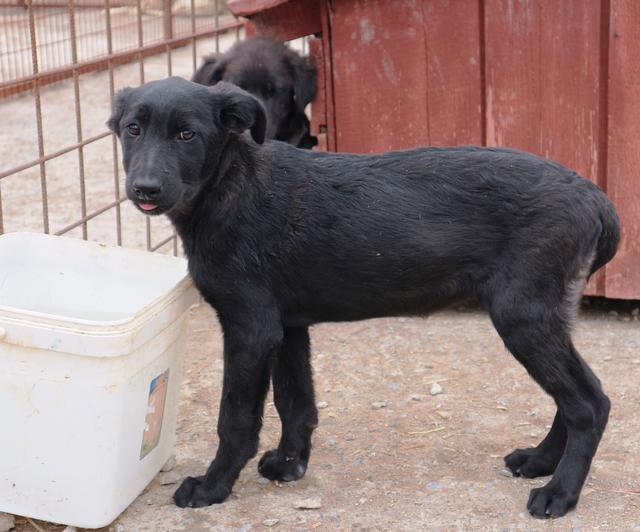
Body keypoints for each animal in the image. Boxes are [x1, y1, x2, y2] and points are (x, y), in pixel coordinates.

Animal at [109, 77, 620, 516]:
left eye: (187, 135)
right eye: (133, 129)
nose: (145, 188)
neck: (228, 186)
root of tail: (594, 196)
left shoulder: (250, 328)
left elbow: (235, 419)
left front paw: (212, 487)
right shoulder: (287, 326)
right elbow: (296, 404)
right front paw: (290, 465)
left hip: (522, 316)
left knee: (588, 403)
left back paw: (559, 493)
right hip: (544, 317)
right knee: (574, 396)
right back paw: (539, 460)